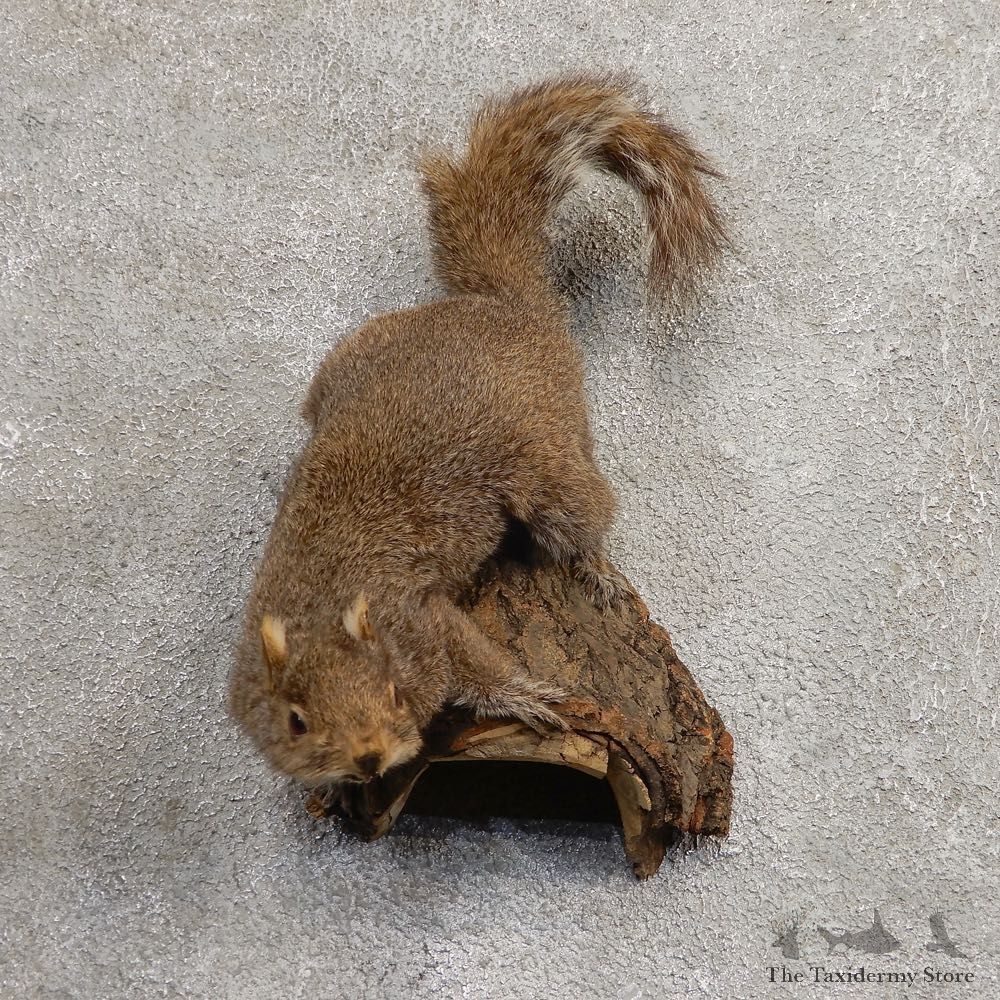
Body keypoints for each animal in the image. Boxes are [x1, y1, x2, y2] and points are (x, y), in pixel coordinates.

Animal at [228, 73, 728, 788]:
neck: (321, 602)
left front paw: (521, 695)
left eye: (390, 690)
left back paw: (595, 564)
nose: (369, 758)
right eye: (295, 720)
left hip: (550, 459)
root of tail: (507, 308)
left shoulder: (422, 620)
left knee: (581, 513)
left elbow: (472, 659)